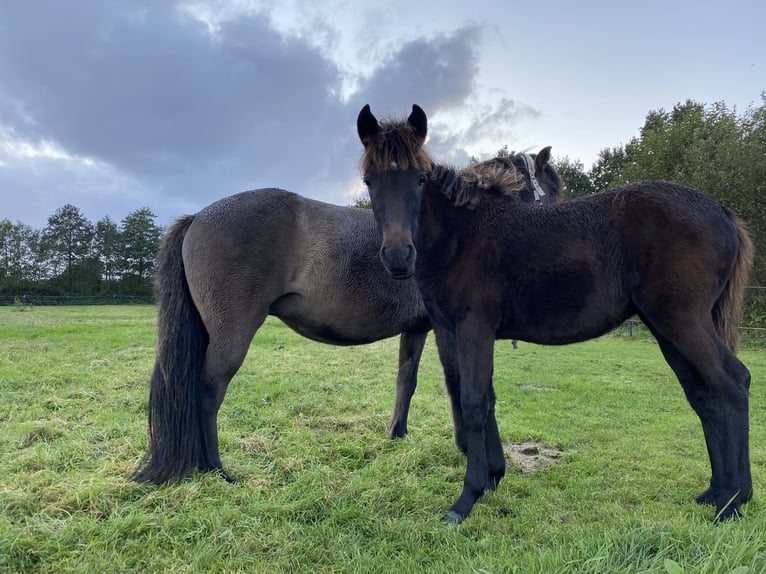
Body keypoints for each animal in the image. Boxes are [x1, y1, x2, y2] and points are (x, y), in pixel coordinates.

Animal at [134, 158, 564, 486]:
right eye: (552, 192)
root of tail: (198, 217)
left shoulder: (417, 329)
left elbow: (407, 381)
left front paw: (397, 435)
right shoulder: (449, 328)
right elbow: (458, 381)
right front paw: (469, 450)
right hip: (230, 338)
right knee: (209, 392)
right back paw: (217, 470)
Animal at [358, 104, 756, 528]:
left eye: (419, 179)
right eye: (370, 181)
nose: (397, 256)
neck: (462, 233)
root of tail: (722, 212)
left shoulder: (473, 328)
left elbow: (473, 403)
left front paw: (466, 499)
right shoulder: (456, 331)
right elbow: (486, 399)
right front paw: (493, 477)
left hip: (683, 322)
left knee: (732, 383)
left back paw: (734, 501)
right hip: (668, 330)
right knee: (703, 394)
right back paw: (715, 493)